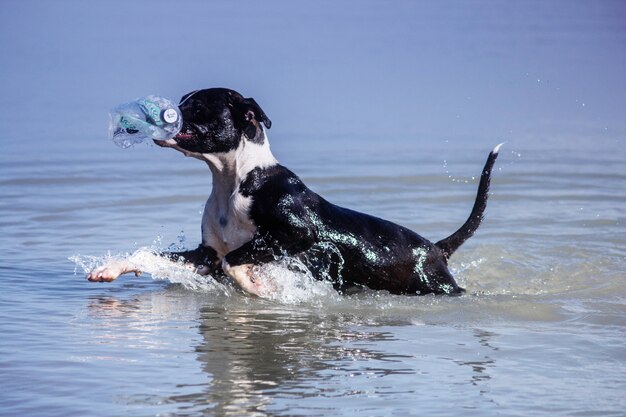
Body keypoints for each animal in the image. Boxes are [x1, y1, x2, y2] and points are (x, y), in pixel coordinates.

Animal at [86, 88, 502, 296]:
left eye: (197, 106)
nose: (153, 112)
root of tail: (436, 248)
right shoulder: (204, 254)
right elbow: (151, 255)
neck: (235, 180)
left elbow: (236, 259)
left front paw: (259, 285)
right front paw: (110, 267)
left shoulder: (298, 233)